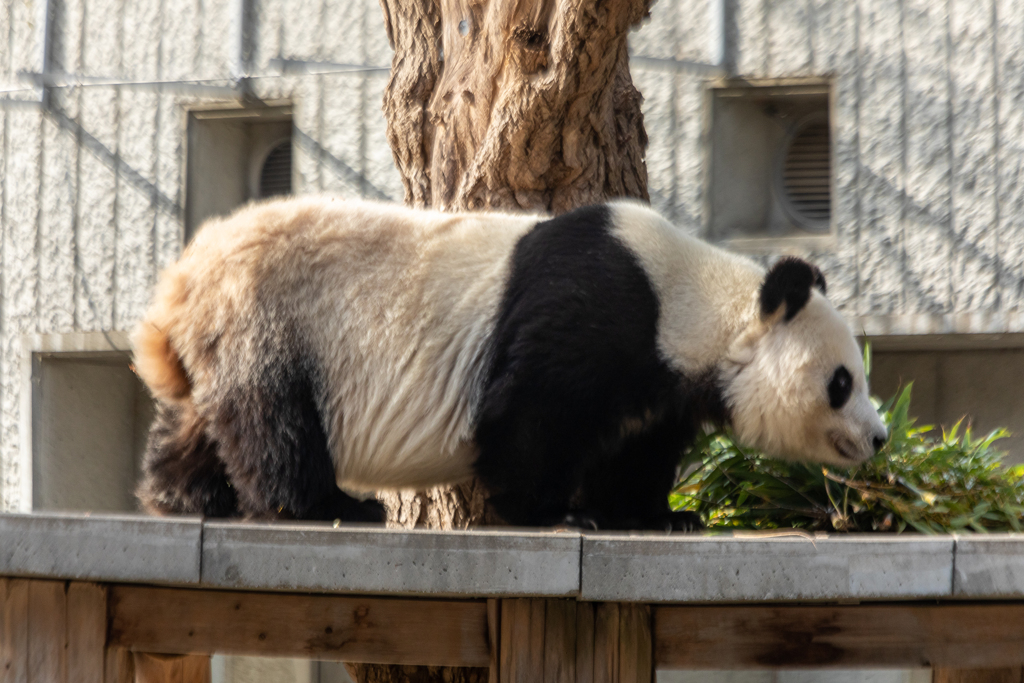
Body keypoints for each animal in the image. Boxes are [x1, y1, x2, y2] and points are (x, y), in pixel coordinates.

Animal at [134, 194, 888, 532]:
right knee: (276, 419)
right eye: (841, 381)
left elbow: (637, 451)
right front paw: (554, 513)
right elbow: (530, 415)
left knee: (204, 416)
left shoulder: (659, 382)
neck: (688, 302)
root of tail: (186, 274)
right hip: (277, 313)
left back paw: (185, 493)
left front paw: (659, 515)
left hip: (230, 329)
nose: (880, 436)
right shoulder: (594, 315)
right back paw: (324, 504)